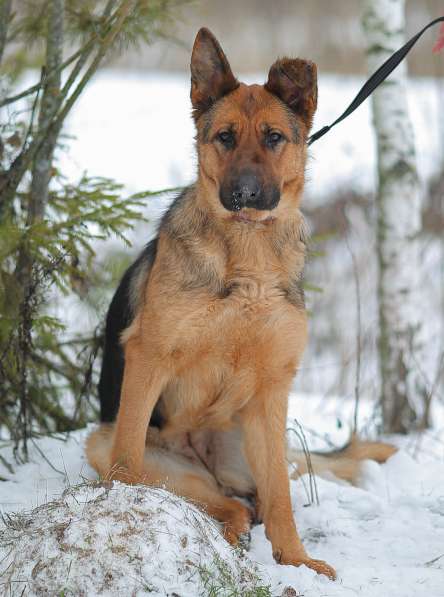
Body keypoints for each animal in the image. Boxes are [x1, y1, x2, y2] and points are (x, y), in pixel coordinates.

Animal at [86, 28, 396, 576]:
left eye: (273, 137)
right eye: (225, 138)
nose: (246, 193)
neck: (247, 259)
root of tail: (202, 454)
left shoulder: (273, 390)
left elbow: (281, 502)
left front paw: (296, 561)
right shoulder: (149, 359)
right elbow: (126, 463)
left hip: (253, 445)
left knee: (255, 499)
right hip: (120, 446)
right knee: (219, 502)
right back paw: (225, 538)